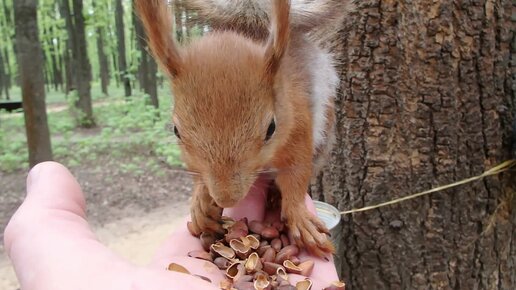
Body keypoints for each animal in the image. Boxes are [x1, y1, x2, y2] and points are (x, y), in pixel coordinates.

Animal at [135, 0, 348, 256]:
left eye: (271, 128)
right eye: (176, 130)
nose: (227, 199)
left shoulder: (298, 129)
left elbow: (296, 175)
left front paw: (298, 216)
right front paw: (200, 203)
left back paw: (275, 196)